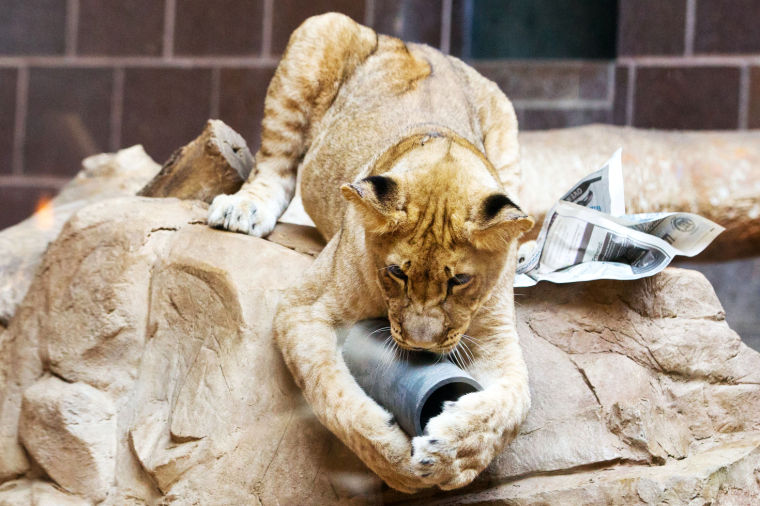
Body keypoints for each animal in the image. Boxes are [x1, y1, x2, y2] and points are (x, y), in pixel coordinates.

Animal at [207, 13, 533, 493]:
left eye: (459, 280)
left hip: (506, 115)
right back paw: (244, 208)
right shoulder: (302, 308)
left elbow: (514, 402)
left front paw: (454, 453)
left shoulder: (497, 334)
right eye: (397, 272)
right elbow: (330, 391)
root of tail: (417, 42)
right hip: (321, 30)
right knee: (275, 165)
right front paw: (393, 458)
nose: (420, 346)